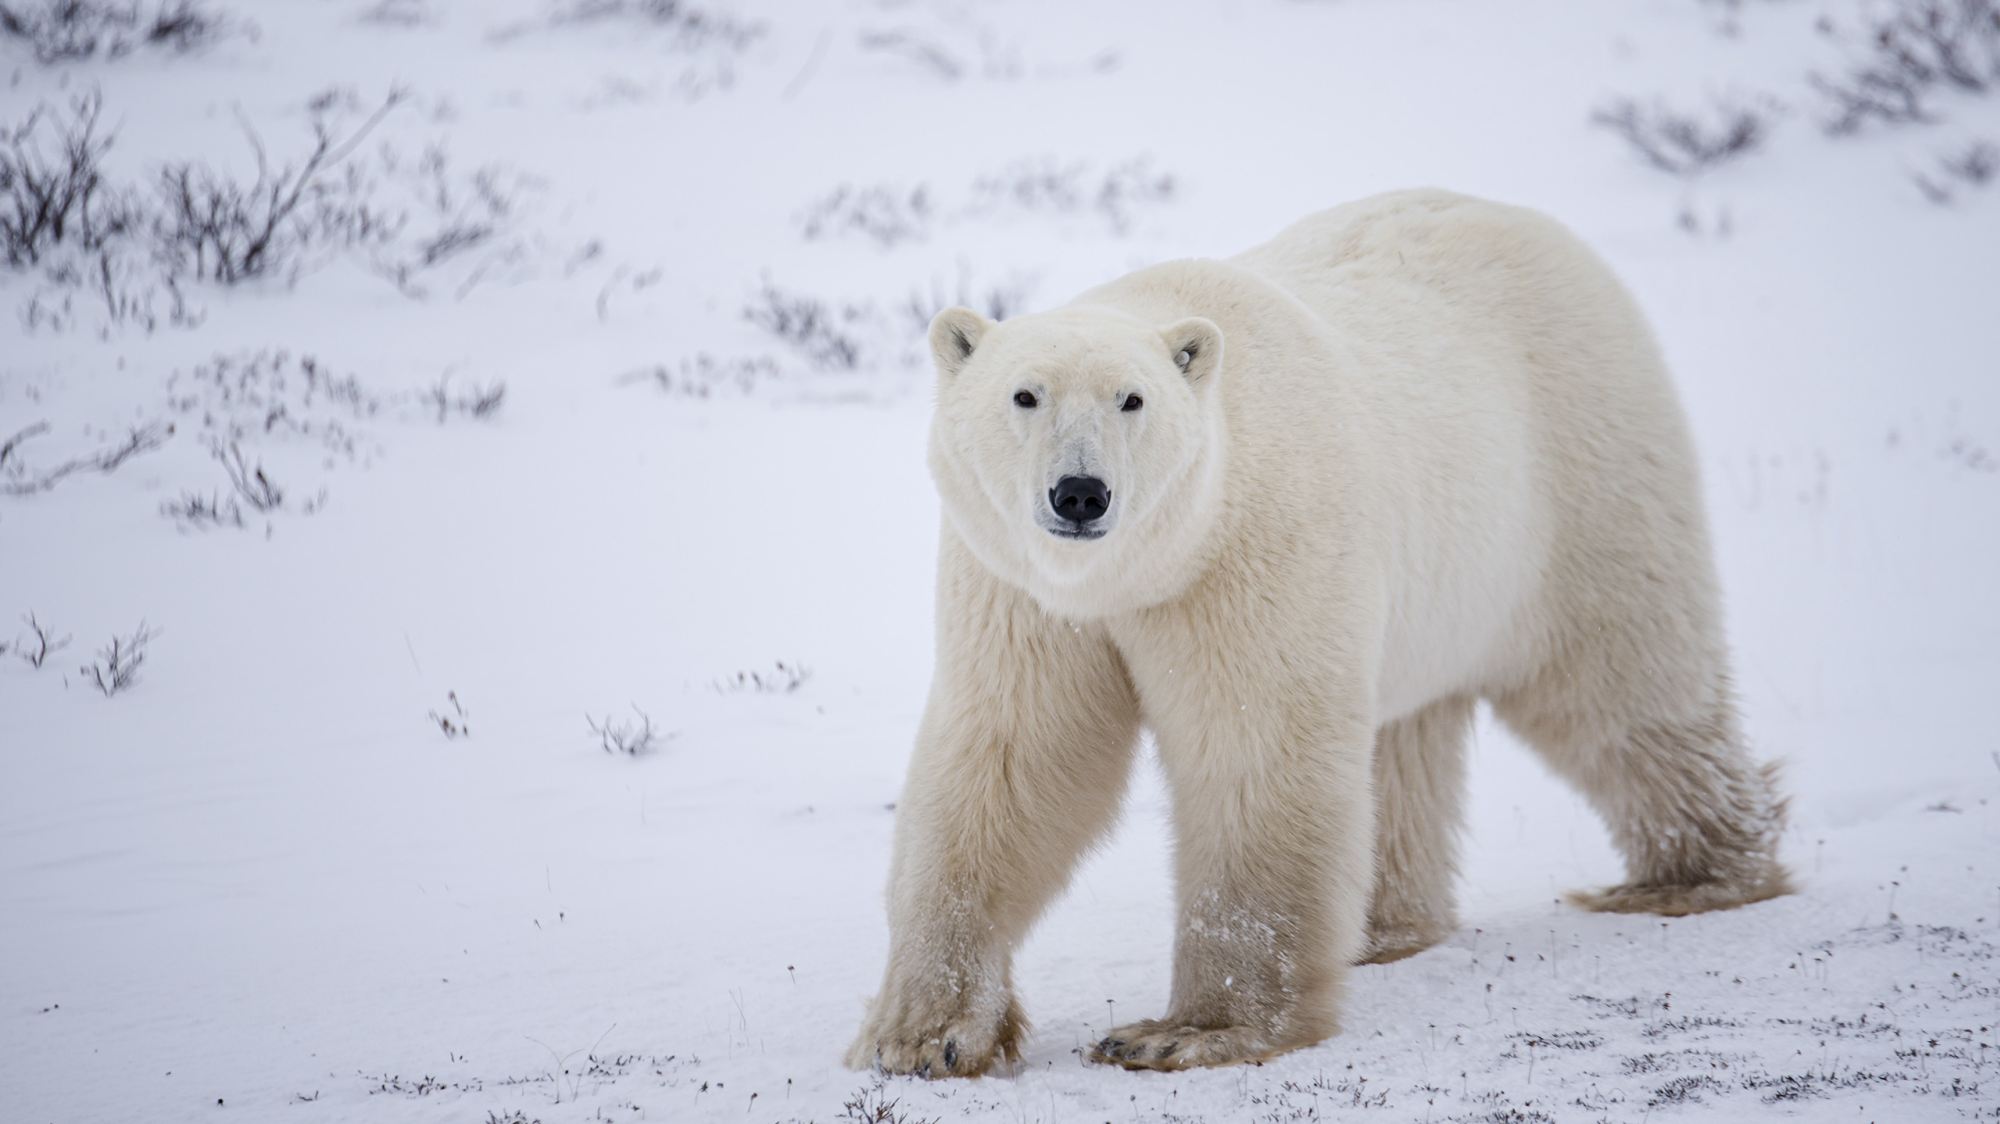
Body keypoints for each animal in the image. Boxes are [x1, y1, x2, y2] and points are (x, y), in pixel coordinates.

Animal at [845, 189, 1790, 1077]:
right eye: (1025, 394)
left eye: (1132, 399)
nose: (1080, 494)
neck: (1146, 570)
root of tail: (1540, 230)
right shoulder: (1023, 592)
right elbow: (1012, 760)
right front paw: (923, 1036)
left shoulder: (1254, 551)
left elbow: (1254, 757)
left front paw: (1186, 1033)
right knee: (1403, 740)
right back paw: (1384, 927)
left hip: (1578, 476)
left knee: (1622, 680)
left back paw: (1694, 877)